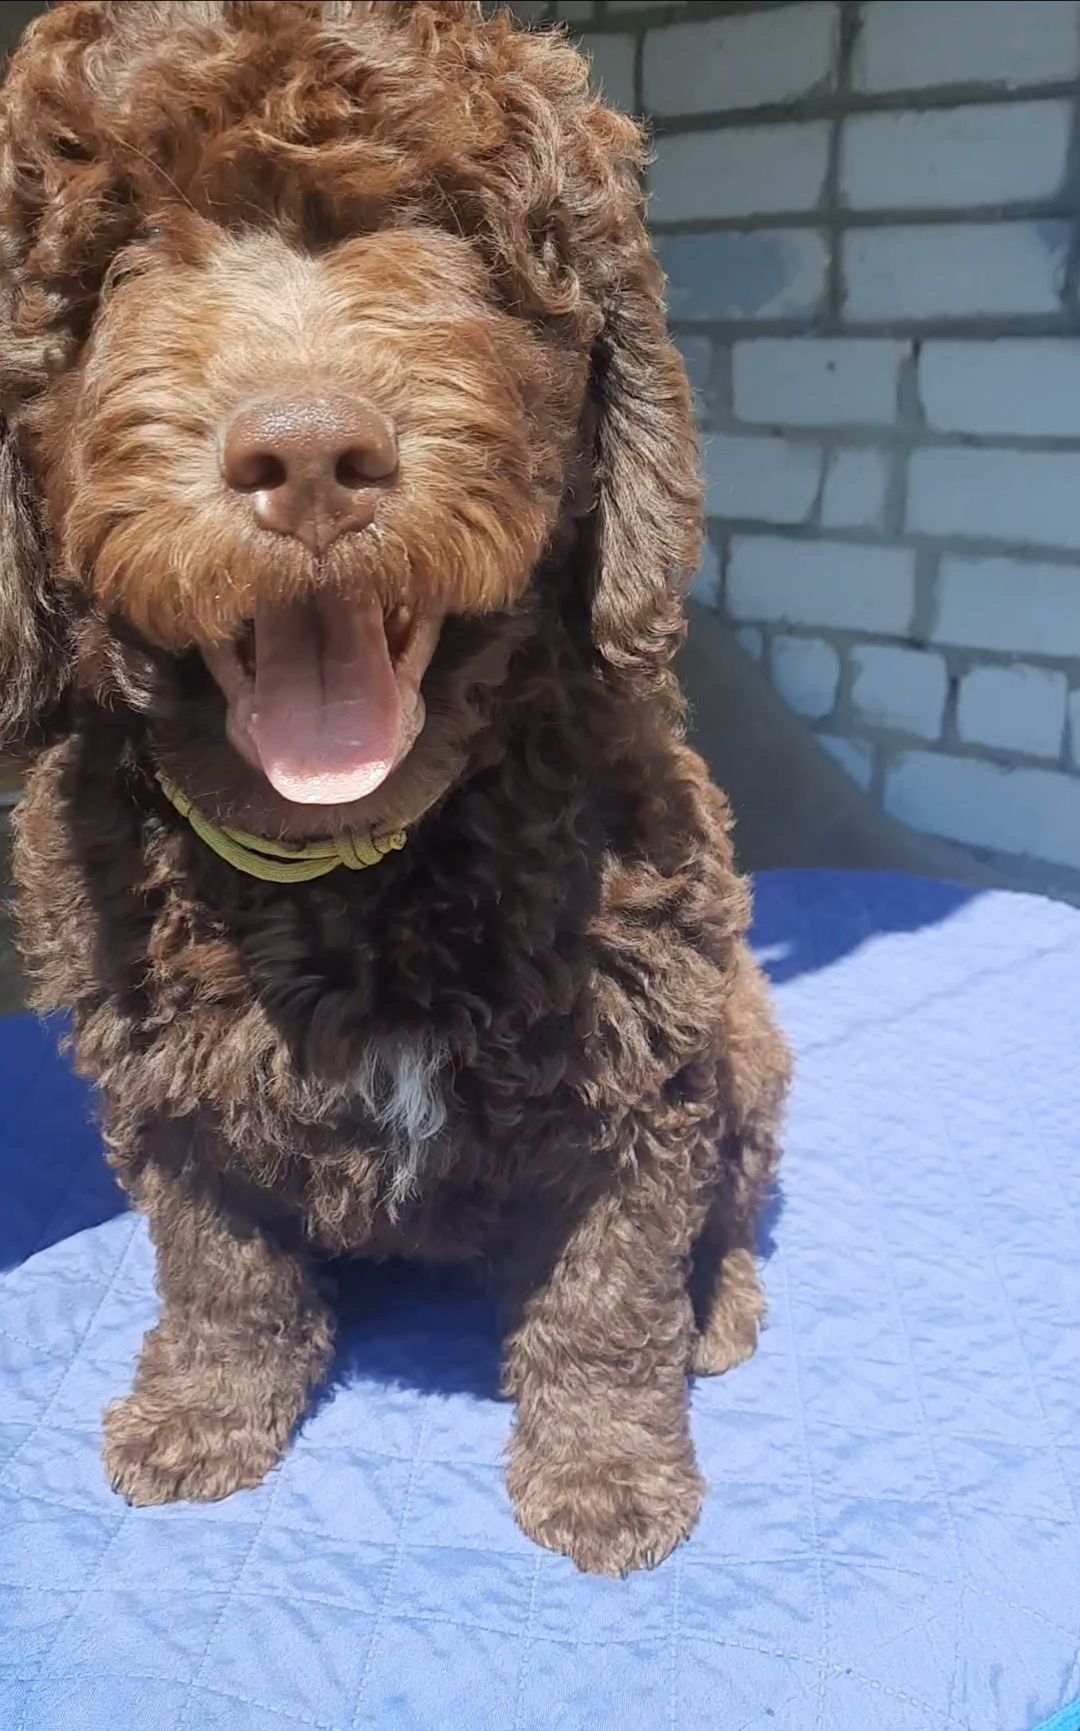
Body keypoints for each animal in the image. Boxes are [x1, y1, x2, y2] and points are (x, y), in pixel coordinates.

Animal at [0, 0, 785, 1578]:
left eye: (454, 244)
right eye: (121, 262)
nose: (310, 453)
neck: (352, 861)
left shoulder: (647, 1037)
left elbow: (611, 1280)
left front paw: (607, 1479)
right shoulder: (163, 1069)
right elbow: (217, 1255)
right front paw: (204, 1413)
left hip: (748, 1031)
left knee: (729, 1196)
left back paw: (719, 1311)